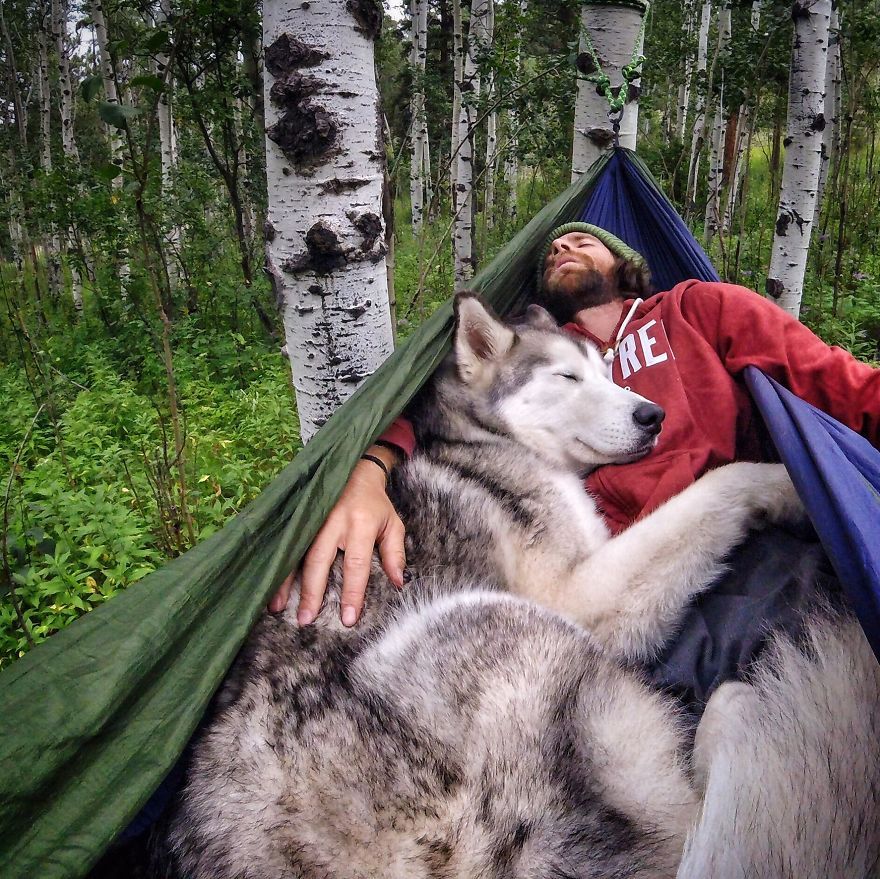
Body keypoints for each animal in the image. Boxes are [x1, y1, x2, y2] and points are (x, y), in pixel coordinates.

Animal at [155, 296, 880, 879]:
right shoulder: (579, 596)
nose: (653, 415)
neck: (488, 442)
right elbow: (718, 487)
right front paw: (787, 484)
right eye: (567, 376)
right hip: (500, 625)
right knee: (688, 826)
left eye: (608, 372)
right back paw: (745, 714)